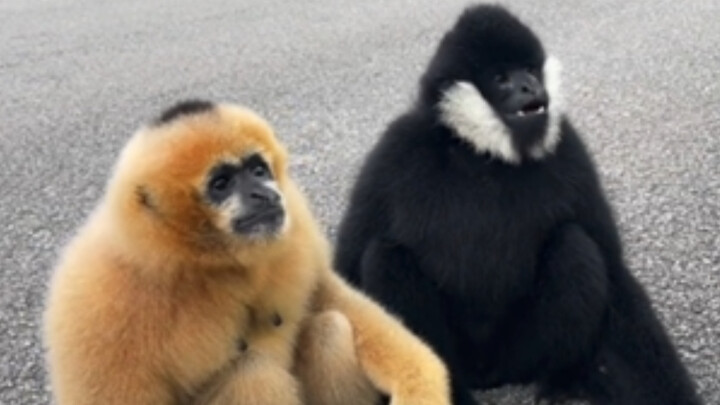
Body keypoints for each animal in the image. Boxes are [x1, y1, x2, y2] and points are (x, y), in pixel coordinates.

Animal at [43, 100, 450, 405]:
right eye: (221, 184)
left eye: (257, 170)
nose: (262, 193)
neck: (212, 265)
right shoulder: (99, 305)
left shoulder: (296, 223)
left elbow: (327, 294)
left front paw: (422, 385)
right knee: (254, 374)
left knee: (328, 330)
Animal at [333, 4, 702, 405]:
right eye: (503, 78)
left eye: (529, 70)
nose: (530, 86)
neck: (482, 156)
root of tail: (487, 374)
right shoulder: (395, 151)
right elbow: (348, 270)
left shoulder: (570, 149)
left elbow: (613, 269)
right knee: (385, 256)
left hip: (518, 356)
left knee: (574, 246)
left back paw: (562, 382)